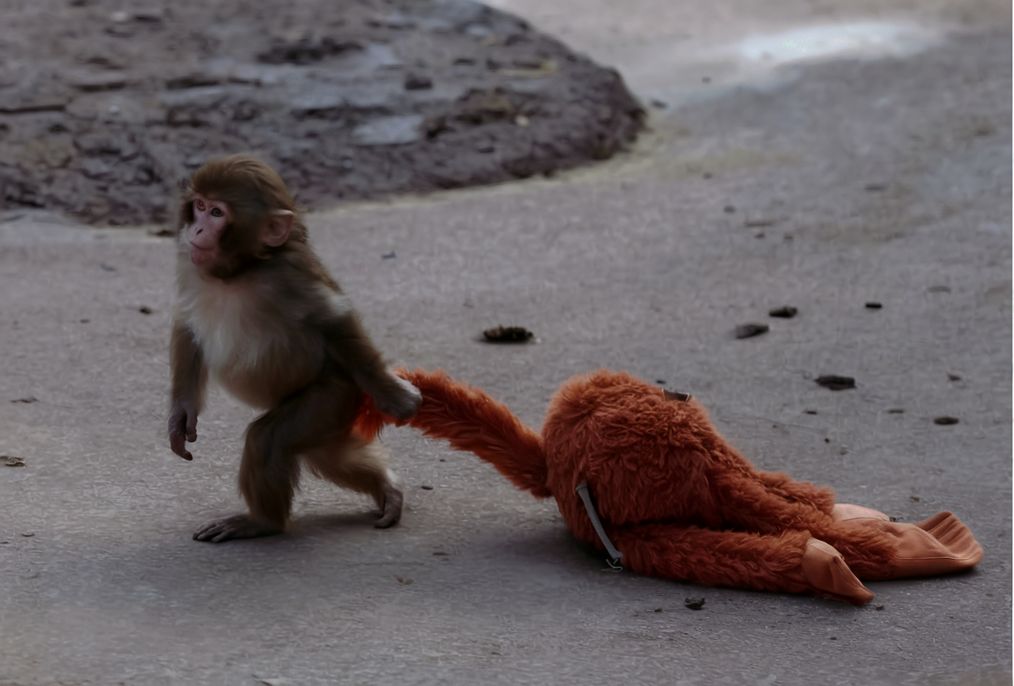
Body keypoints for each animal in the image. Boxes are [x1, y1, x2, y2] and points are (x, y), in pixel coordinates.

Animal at [168, 154, 421, 543]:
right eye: (199, 205)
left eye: (217, 213)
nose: (195, 231)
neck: (239, 272)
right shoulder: (190, 265)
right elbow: (187, 322)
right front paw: (181, 415)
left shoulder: (290, 274)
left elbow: (333, 318)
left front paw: (393, 394)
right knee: (326, 454)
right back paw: (386, 488)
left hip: (334, 393)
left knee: (269, 439)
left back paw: (262, 522)